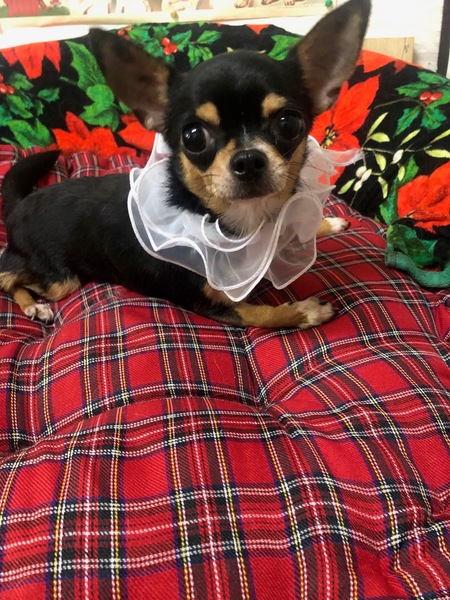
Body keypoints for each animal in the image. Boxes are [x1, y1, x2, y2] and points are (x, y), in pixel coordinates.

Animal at [0, 0, 370, 329]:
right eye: (193, 137)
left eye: (289, 124)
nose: (249, 159)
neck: (241, 221)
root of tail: (20, 204)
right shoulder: (207, 301)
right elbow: (261, 314)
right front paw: (305, 312)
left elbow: (295, 223)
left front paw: (325, 223)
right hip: (60, 280)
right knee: (8, 276)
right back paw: (34, 307)